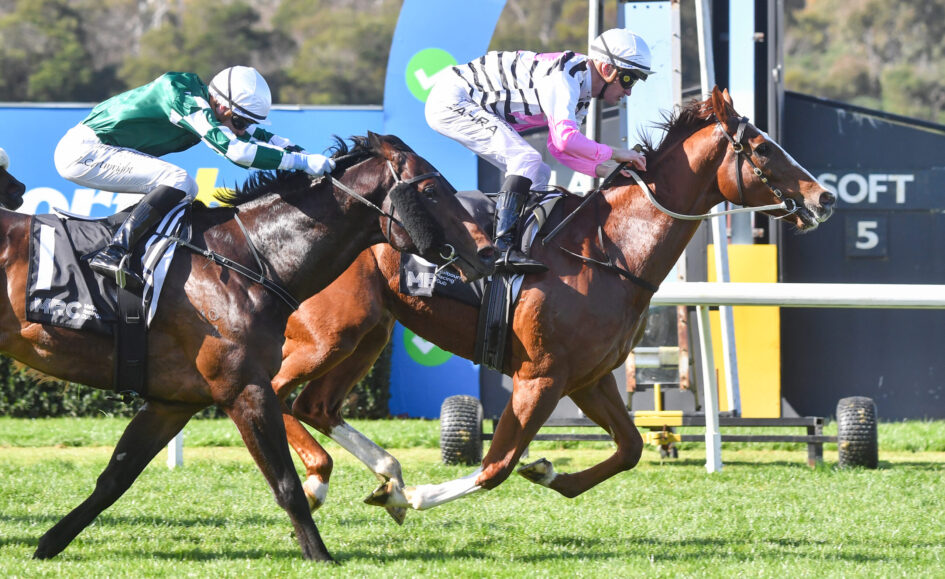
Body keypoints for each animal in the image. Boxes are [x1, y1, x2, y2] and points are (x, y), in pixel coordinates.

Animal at [0, 132, 495, 562]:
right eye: (430, 190)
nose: (489, 253)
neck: (249, 259)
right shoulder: (245, 389)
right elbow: (287, 485)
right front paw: (320, 556)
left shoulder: (171, 402)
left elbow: (114, 478)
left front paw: (48, 544)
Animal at [270, 87, 836, 519]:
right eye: (762, 147)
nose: (825, 198)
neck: (608, 251)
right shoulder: (539, 376)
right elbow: (495, 465)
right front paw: (420, 495)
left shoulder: (589, 377)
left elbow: (630, 449)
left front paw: (546, 470)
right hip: (328, 335)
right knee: (276, 392)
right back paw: (321, 479)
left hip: (369, 334)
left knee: (313, 404)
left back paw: (383, 472)